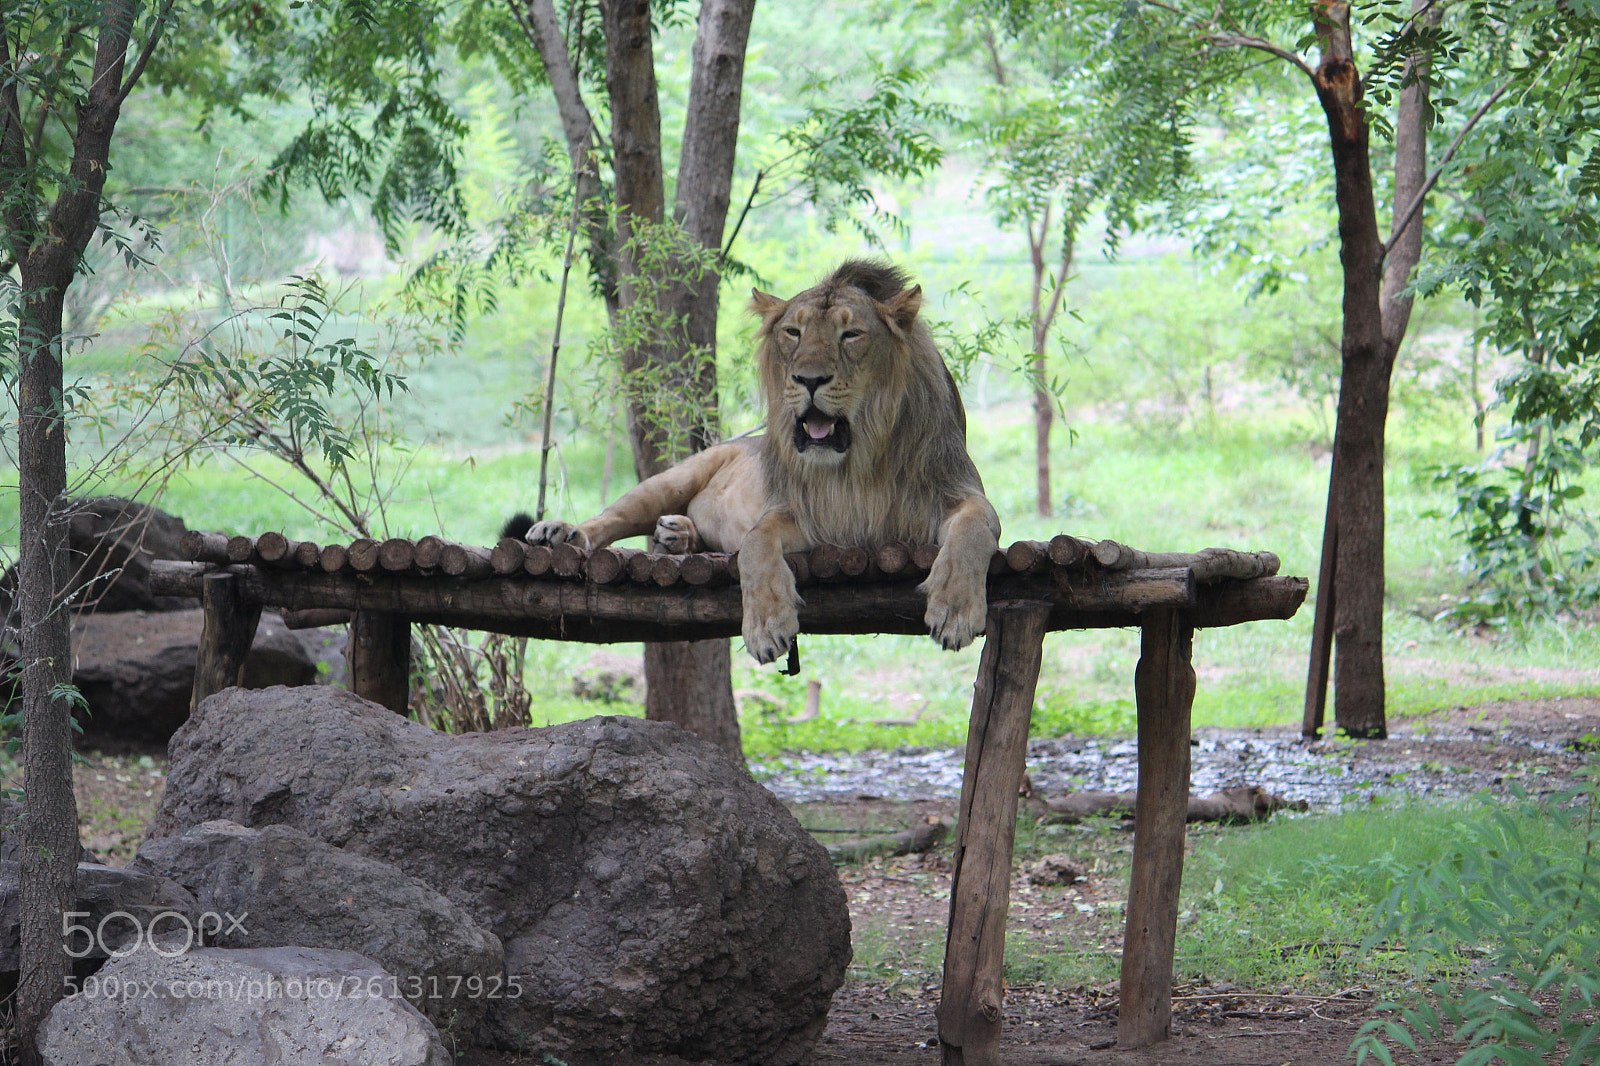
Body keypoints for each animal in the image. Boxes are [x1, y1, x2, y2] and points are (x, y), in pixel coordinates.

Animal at [506, 259, 1000, 665]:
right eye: (793, 333)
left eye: (851, 334)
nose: (808, 379)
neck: (855, 463)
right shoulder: (799, 515)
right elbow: (755, 546)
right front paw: (765, 626)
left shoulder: (954, 494)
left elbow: (973, 530)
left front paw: (955, 607)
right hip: (675, 476)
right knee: (612, 517)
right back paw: (563, 531)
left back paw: (676, 535)